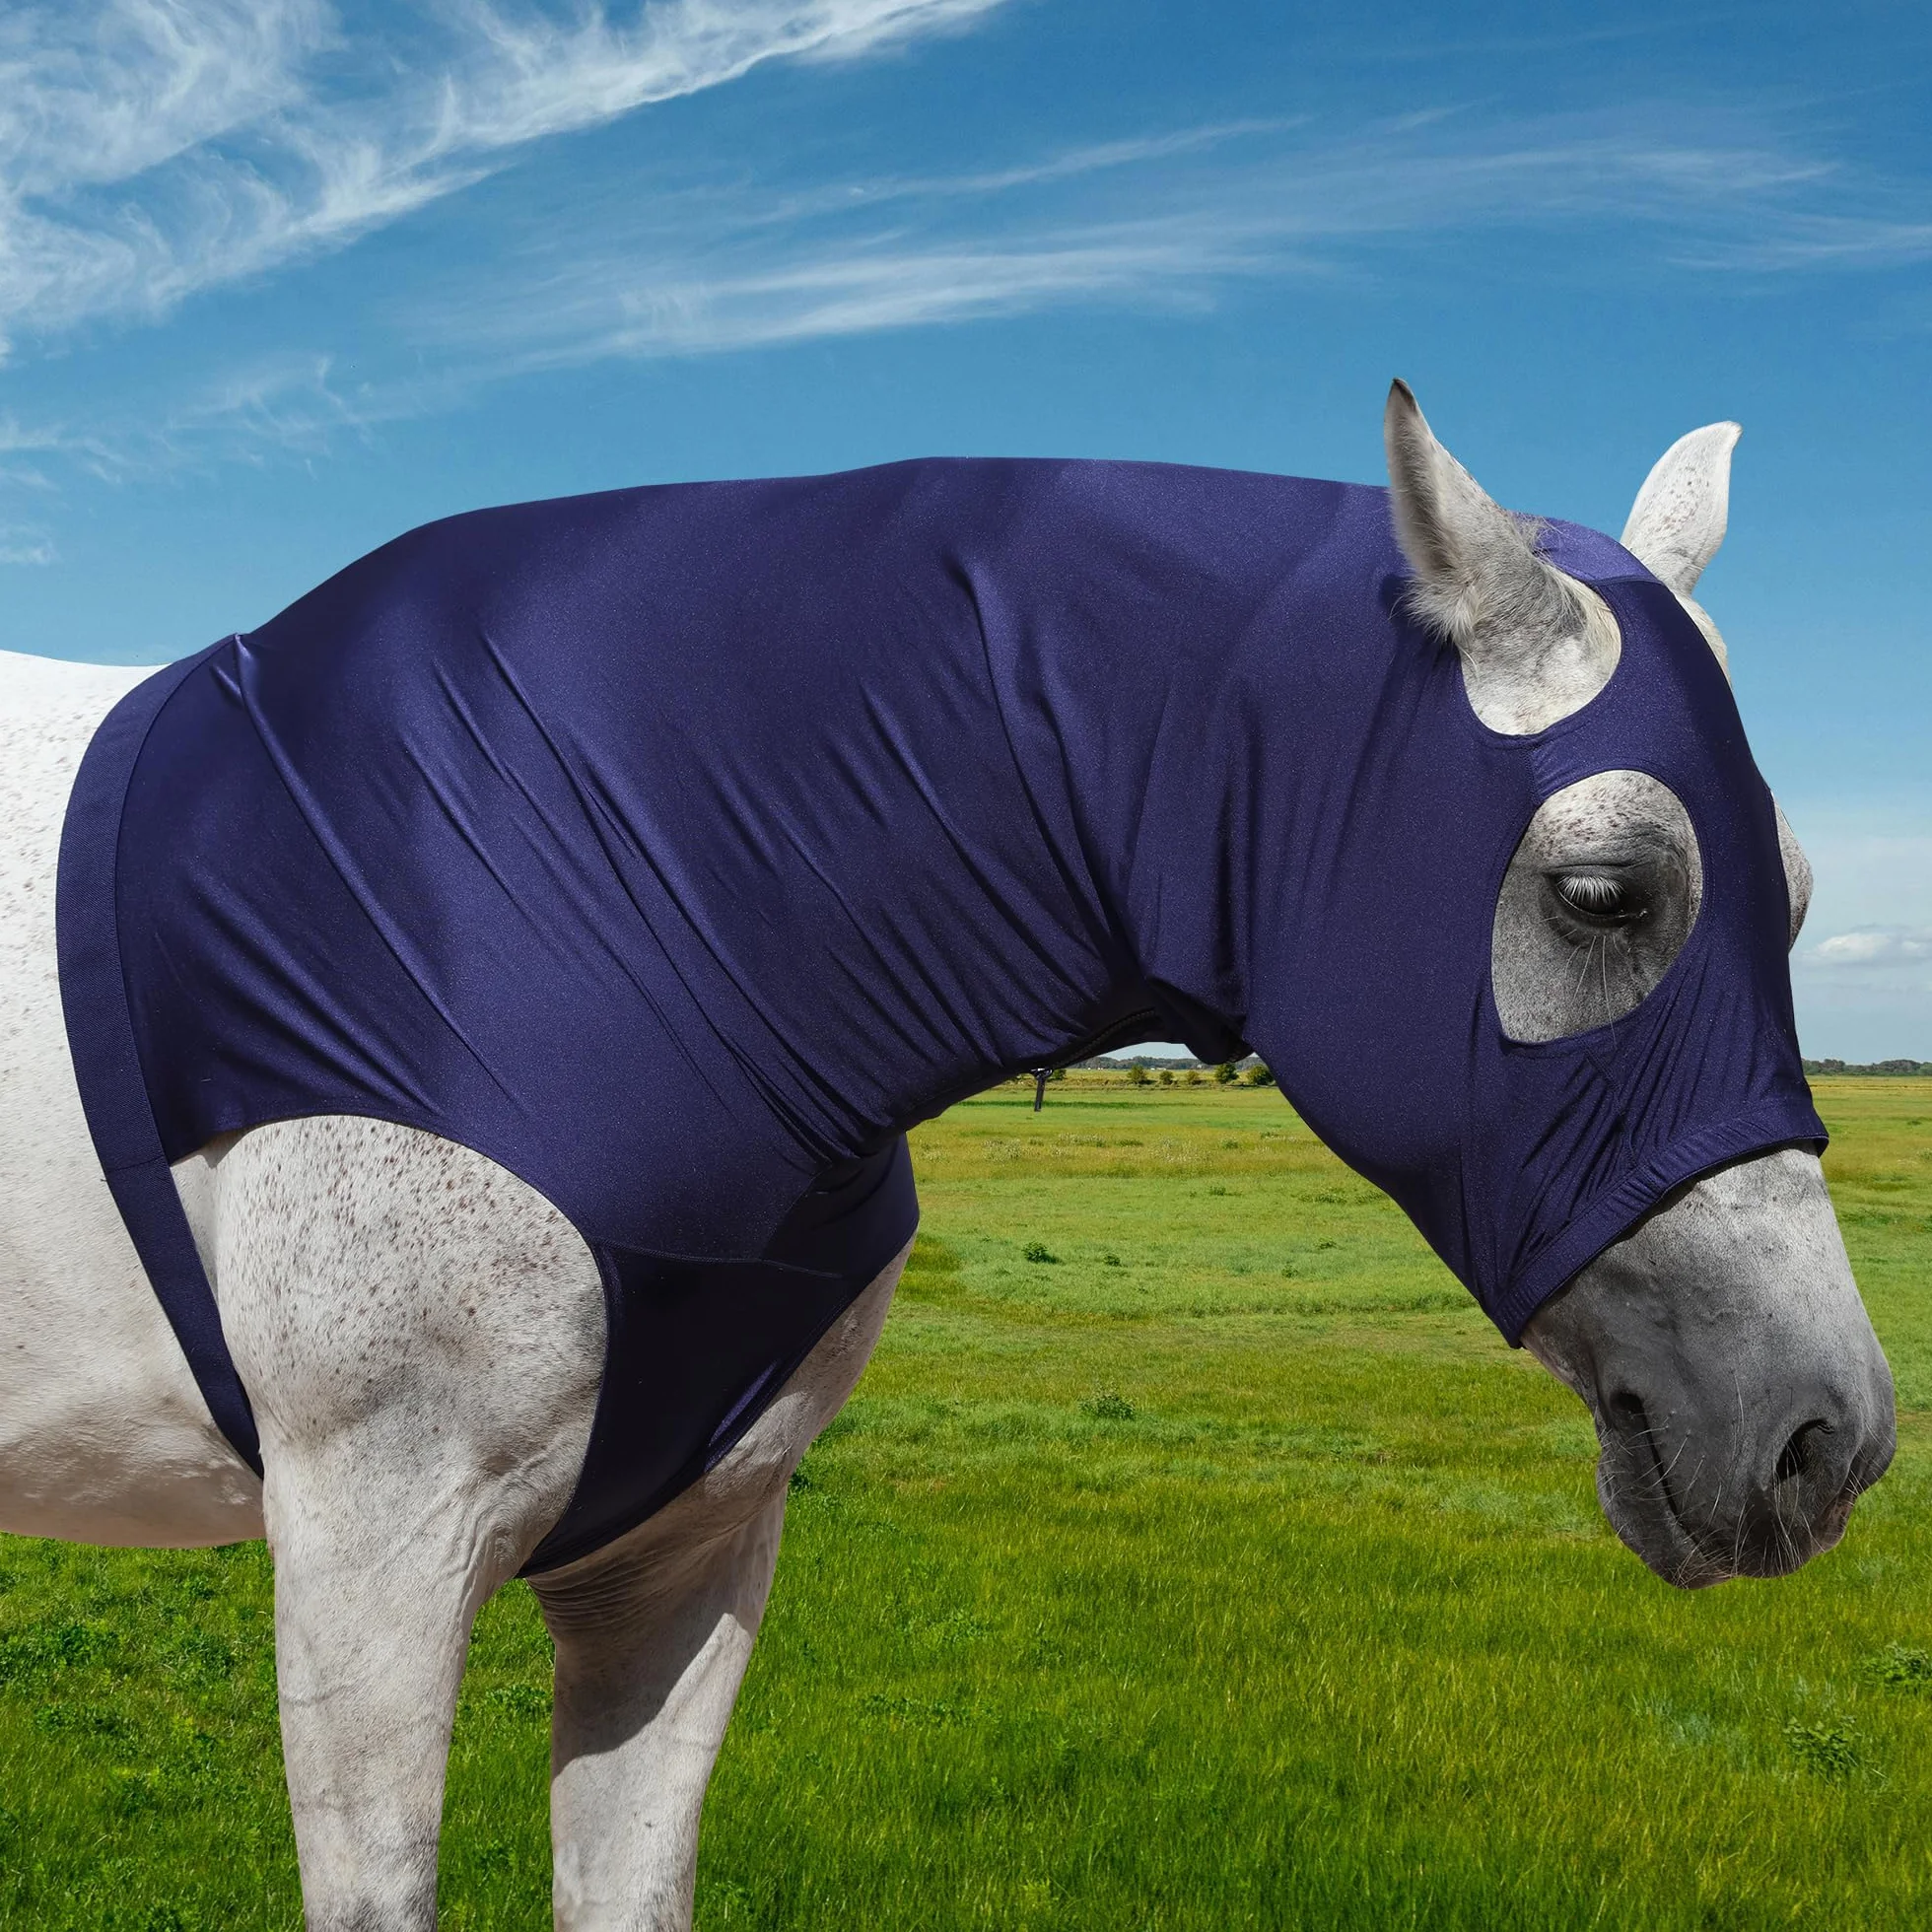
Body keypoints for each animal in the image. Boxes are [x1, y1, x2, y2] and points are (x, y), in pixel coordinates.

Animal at [0, 382, 1894, 1928]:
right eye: (1606, 894)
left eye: (1802, 896)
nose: (1831, 1437)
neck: (568, 881)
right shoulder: (370, 1551)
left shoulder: (681, 1552)